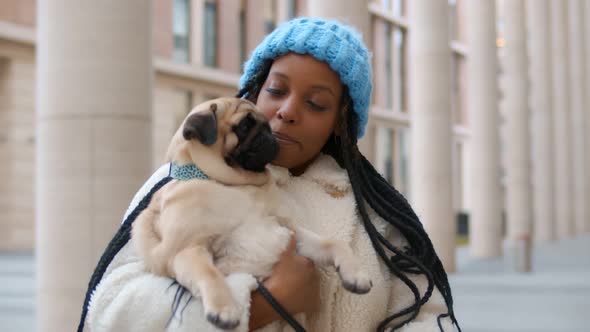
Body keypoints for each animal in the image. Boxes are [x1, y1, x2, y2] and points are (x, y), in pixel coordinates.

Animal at [134, 97, 372, 330]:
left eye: (266, 124)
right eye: (245, 126)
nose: (269, 133)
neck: (236, 185)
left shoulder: (290, 232)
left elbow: (332, 243)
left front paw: (356, 274)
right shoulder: (184, 250)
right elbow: (210, 273)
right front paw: (225, 309)